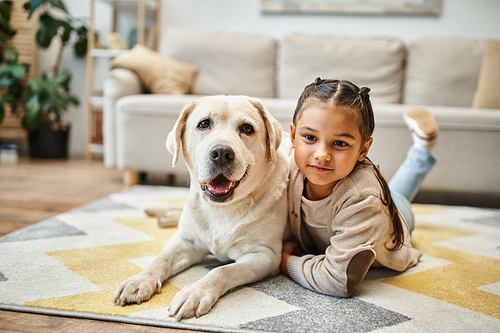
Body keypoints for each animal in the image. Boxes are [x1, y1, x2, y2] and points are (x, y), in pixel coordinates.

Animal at [113, 95, 290, 320]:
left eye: (247, 128)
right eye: (204, 124)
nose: (222, 153)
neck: (222, 209)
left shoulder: (265, 255)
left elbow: (223, 271)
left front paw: (195, 293)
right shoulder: (186, 240)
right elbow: (160, 259)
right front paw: (139, 281)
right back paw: (162, 214)